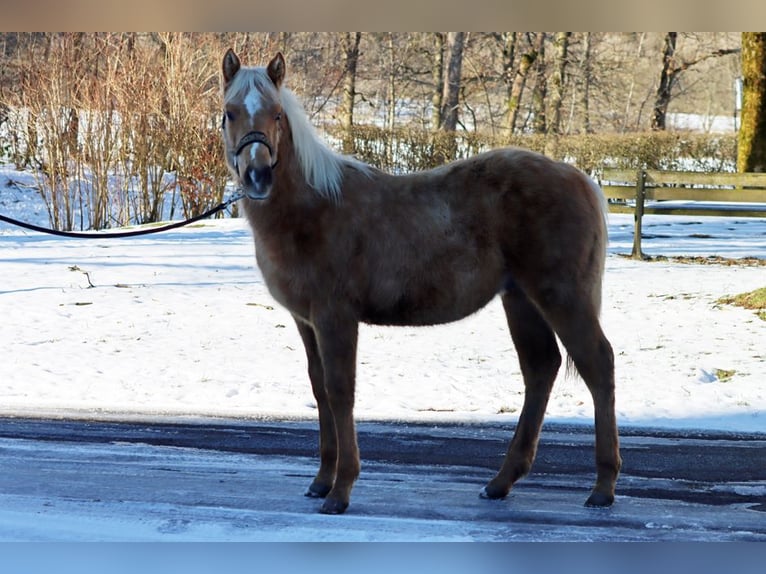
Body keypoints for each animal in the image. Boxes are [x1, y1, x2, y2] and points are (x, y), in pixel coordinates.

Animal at [219, 50, 620, 516]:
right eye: (230, 112)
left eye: (277, 115)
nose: (258, 176)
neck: (313, 208)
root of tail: (580, 178)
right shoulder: (307, 321)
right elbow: (319, 389)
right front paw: (321, 481)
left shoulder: (335, 317)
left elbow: (340, 391)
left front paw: (341, 491)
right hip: (521, 300)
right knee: (541, 368)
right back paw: (500, 482)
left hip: (562, 297)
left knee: (598, 365)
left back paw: (603, 486)